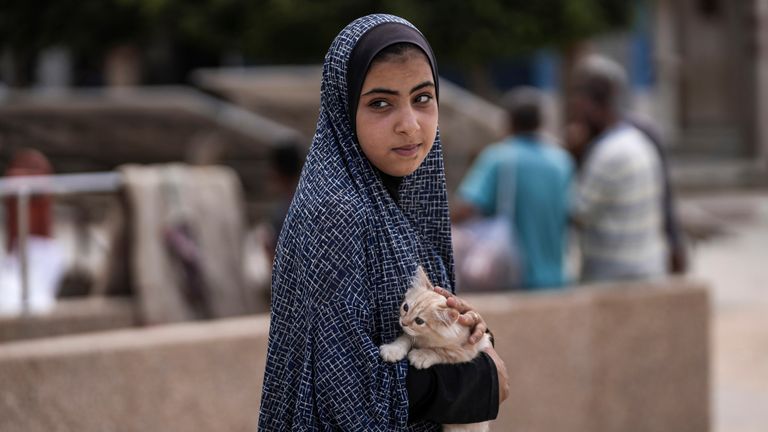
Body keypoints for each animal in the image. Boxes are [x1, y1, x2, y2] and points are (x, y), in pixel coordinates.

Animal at [378, 266, 492, 432]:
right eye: (405, 307)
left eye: (419, 321)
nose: (403, 322)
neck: (426, 337)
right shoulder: (412, 335)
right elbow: (405, 338)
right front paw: (393, 350)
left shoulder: (466, 351)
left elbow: (439, 351)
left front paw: (421, 356)